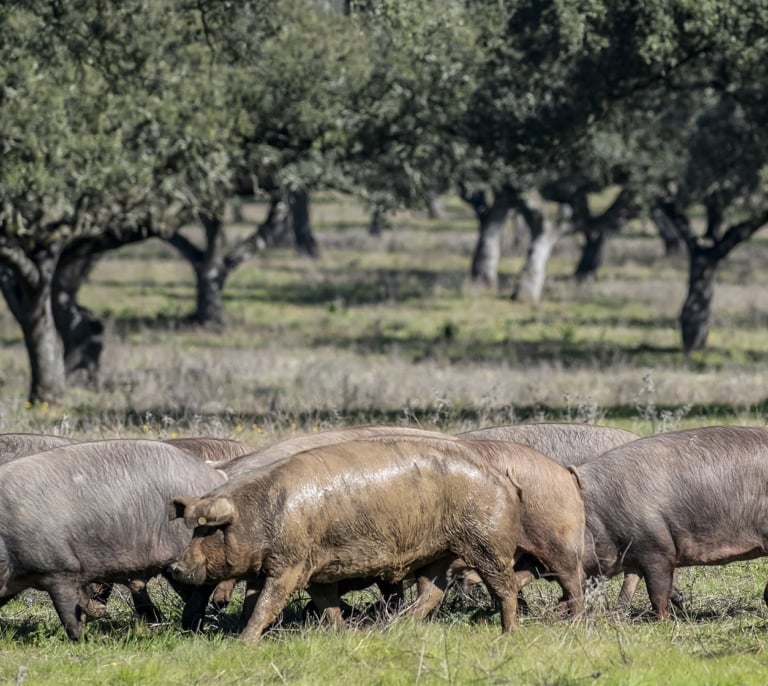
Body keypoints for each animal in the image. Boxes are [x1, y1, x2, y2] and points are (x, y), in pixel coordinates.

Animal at [0, 440, 228, 640]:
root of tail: (217, 477)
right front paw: (99, 614)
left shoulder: (60, 570)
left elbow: (68, 613)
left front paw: (84, 639)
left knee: (202, 588)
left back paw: (194, 627)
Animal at [170, 438, 524, 644]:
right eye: (193, 530)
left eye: (208, 530)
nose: (175, 567)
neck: (263, 514)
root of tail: (502, 478)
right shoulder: (316, 569)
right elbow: (327, 604)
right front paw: (341, 634)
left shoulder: (291, 563)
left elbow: (268, 603)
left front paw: (244, 643)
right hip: (438, 553)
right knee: (432, 592)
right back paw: (386, 629)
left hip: (487, 541)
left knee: (504, 588)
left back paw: (509, 634)